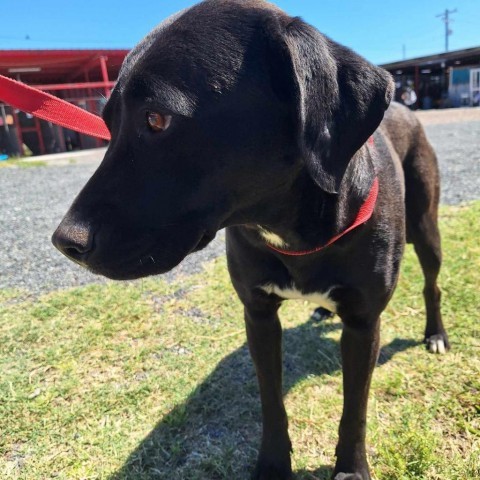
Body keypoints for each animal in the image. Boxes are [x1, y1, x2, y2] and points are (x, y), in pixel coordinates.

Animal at [53, 1, 450, 478]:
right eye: (107, 123)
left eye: (156, 118)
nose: (65, 242)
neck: (293, 232)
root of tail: (406, 110)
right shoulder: (258, 315)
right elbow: (271, 402)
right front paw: (273, 464)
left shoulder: (363, 322)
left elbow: (354, 409)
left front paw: (351, 468)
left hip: (426, 228)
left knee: (432, 285)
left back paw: (435, 333)